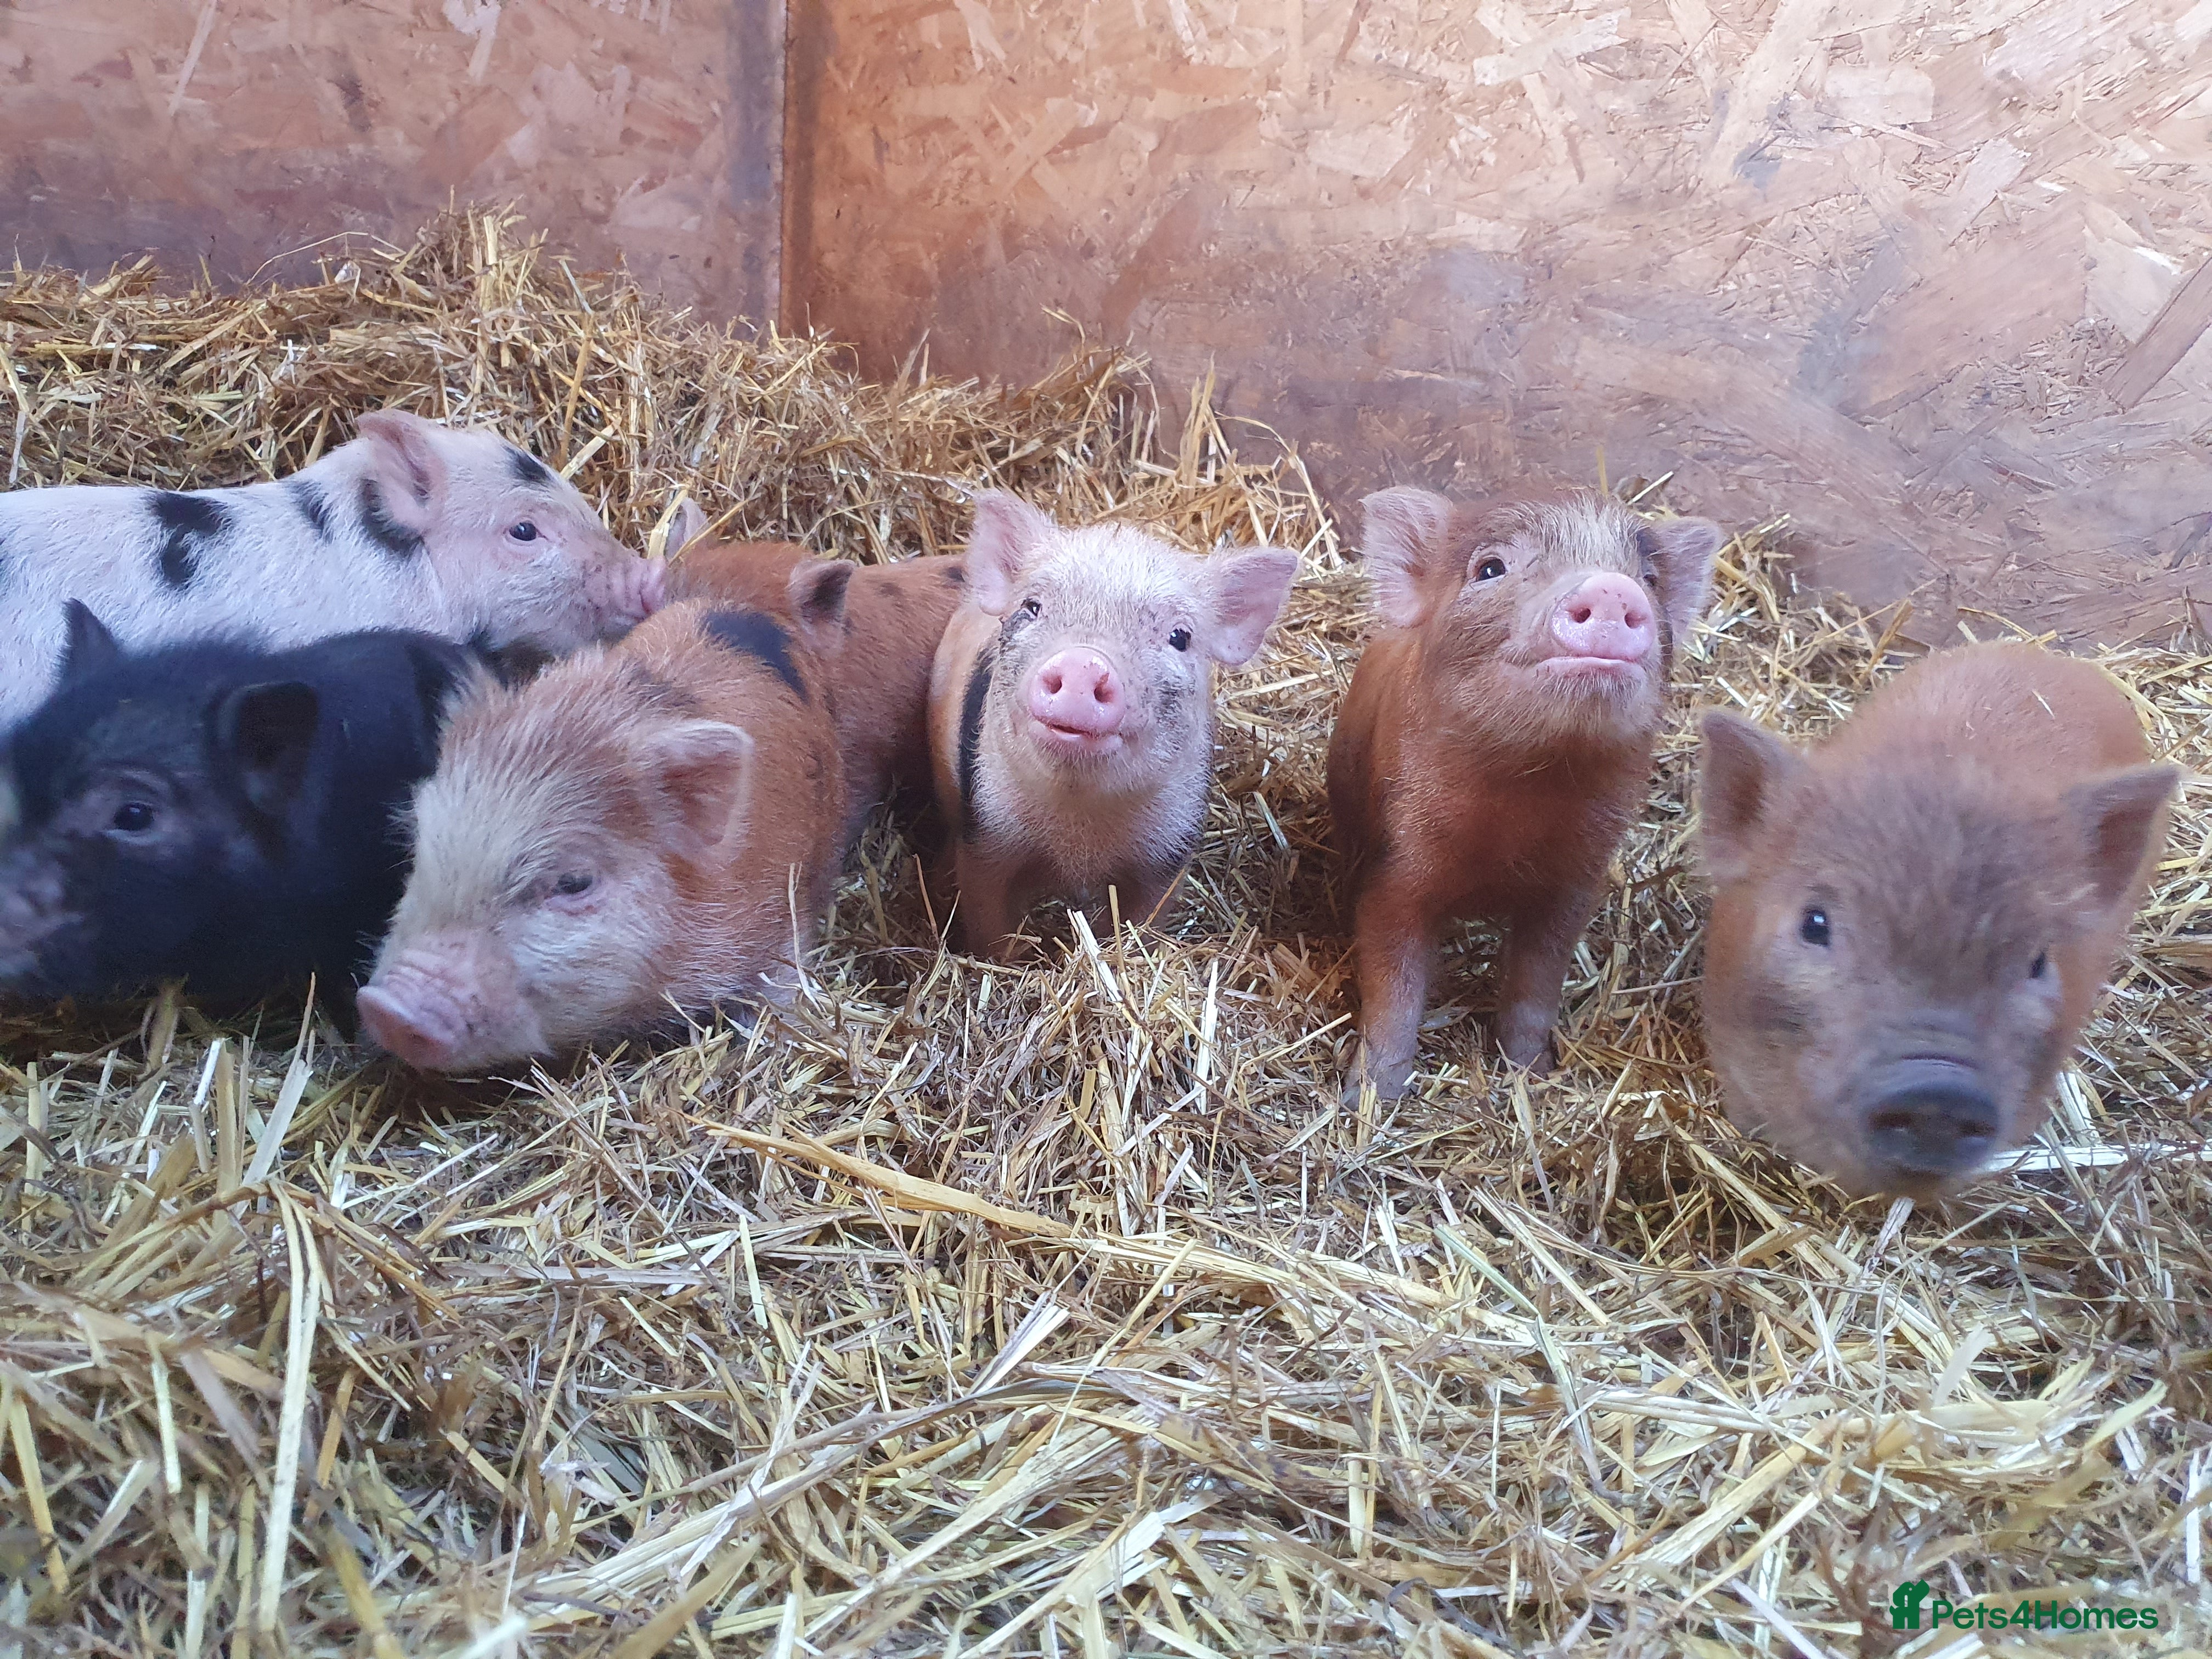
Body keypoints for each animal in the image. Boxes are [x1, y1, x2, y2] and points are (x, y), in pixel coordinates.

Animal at [927, 492, 1297, 958]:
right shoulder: (985, 832)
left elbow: (1144, 921)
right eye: (1032, 608)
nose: (1084, 662)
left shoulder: (1167, 854)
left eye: (1180, 636)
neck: (1079, 832)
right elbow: (989, 921)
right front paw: (1004, 960)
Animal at [1329, 488, 1723, 1097]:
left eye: (1651, 579)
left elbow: (1537, 985)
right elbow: (1393, 984)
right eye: (1490, 568)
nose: (1611, 588)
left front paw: (1532, 1072)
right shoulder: (1396, 870)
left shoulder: (1572, 887)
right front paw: (1367, 1097)